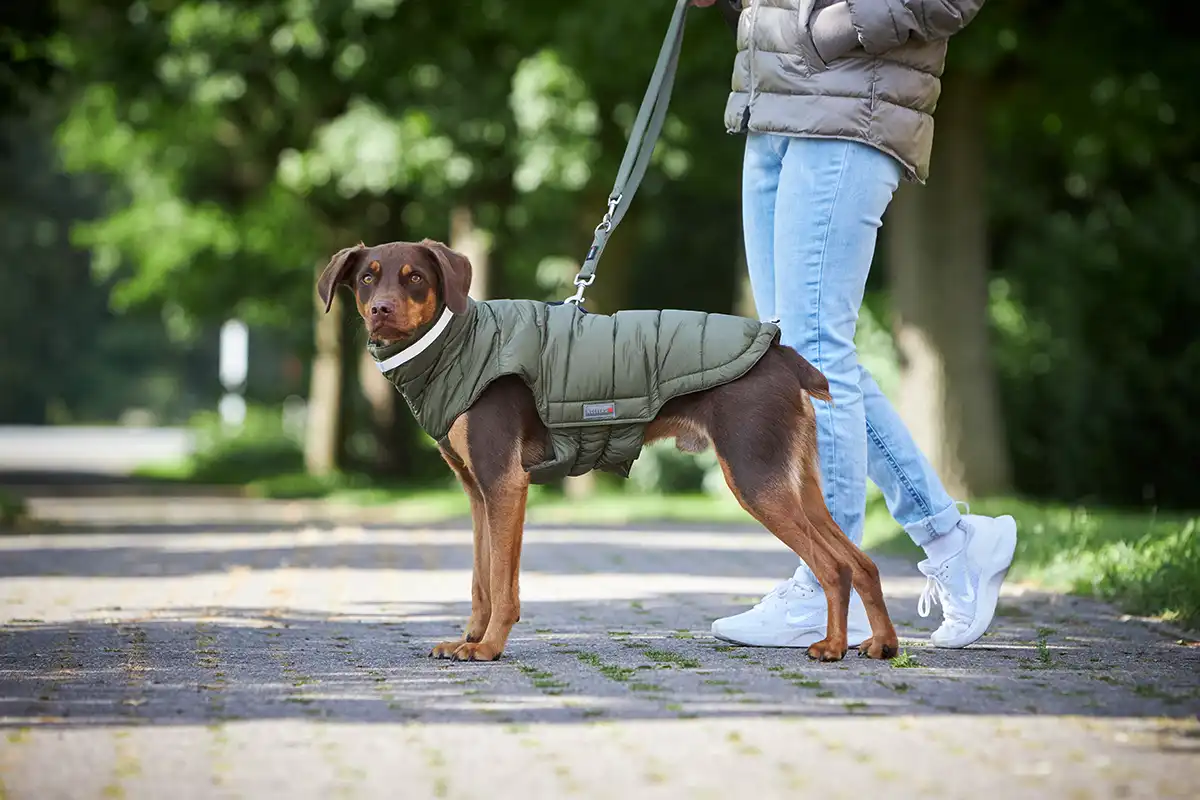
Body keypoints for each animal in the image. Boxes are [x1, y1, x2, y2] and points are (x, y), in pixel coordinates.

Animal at [319, 237, 902, 662]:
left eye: (415, 277)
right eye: (367, 277)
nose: (380, 309)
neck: (454, 345)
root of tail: (783, 355)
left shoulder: (505, 486)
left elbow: (503, 587)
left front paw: (487, 648)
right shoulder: (477, 492)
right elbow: (480, 582)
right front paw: (468, 639)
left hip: (755, 479)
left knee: (834, 568)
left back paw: (832, 646)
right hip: (795, 482)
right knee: (863, 563)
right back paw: (881, 644)